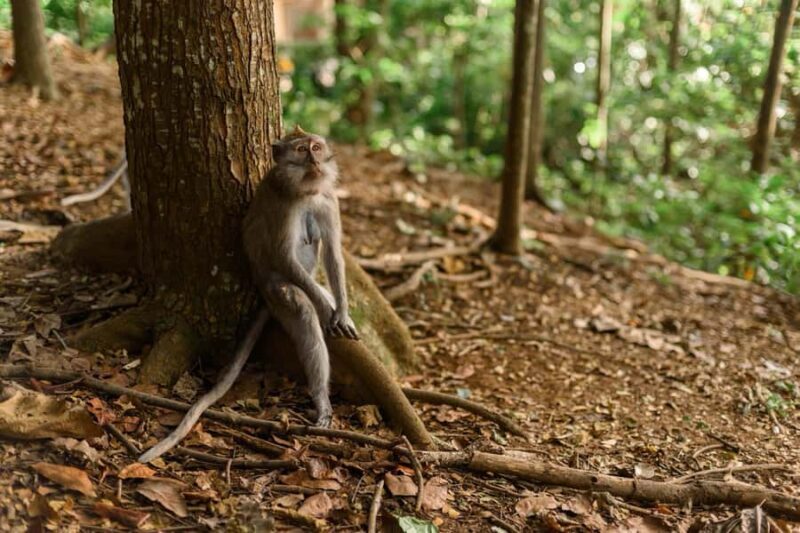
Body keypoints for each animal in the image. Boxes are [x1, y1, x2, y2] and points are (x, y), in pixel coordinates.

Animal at [137, 127, 357, 463]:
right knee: (303, 314)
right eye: (301, 150)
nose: (315, 160)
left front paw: (340, 311)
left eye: (316, 147)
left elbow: (333, 253)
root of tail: (264, 292)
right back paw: (321, 396)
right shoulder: (284, 205)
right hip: (277, 290)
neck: (307, 191)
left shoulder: (328, 198)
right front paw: (324, 307)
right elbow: (283, 257)